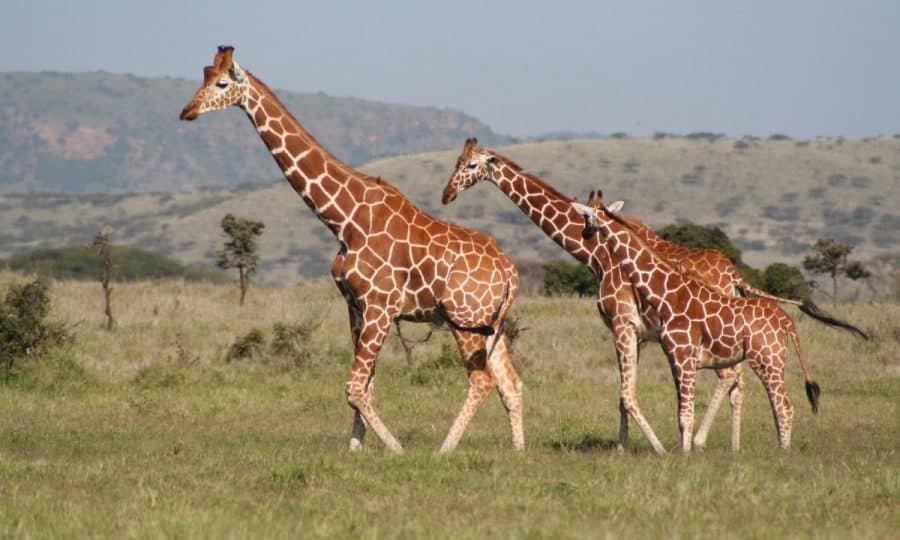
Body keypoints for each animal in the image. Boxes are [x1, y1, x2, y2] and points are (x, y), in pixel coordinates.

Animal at [180, 46, 523, 454]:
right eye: (203, 75)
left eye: (221, 83)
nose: (187, 111)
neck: (345, 220)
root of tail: (510, 271)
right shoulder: (355, 306)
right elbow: (367, 386)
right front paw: (355, 450)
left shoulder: (380, 306)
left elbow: (354, 388)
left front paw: (395, 449)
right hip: (491, 322)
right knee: (510, 381)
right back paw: (519, 451)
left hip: (464, 318)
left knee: (483, 379)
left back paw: (443, 451)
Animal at [576, 194, 868, 447]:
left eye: (588, 216)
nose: (585, 234)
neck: (667, 294)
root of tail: (787, 320)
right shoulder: (677, 358)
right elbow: (681, 413)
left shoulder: (683, 356)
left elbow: (685, 416)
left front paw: (685, 456)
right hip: (771, 360)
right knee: (779, 405)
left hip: (767, 360)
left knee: (784, 405)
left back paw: (782, 453)